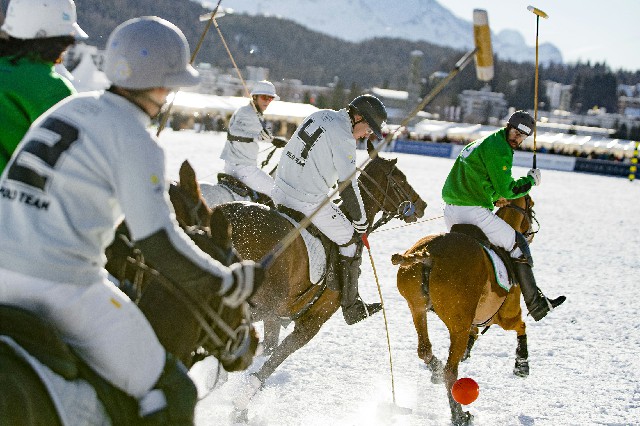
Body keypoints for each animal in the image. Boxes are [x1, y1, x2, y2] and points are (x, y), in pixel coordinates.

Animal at [205, 152, 424, 416]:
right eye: (400, 180)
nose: (422, 206)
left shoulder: (275, 316)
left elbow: (268, 348)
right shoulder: (312, 321)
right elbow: (273, 359)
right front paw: (240, 404)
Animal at [392, 196, 536, 426]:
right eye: (530, 207)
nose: (530, 233)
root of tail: (427, 254)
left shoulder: (474, 317)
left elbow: (474, 333)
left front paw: (467, 352)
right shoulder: (506, 314)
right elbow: (521, 325)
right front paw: (521, 365)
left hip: (417, 308)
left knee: (425, 350)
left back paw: (436, 369)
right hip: (458, 323)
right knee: (451, 371)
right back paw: (459, 415)